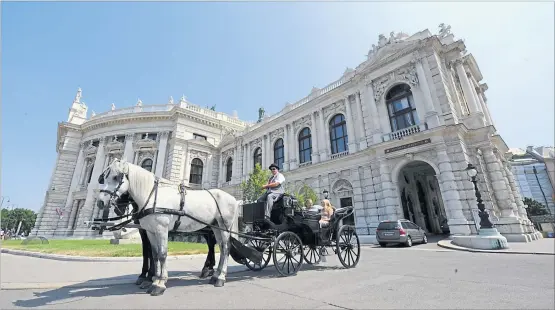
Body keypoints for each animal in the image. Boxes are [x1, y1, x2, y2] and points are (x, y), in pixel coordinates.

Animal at [96, 160, 240, 296]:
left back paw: (220, 277)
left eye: (116, 177)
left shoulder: (162, 230)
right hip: (215, 227)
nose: (100, 202)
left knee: (225, 248)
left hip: (225, 226)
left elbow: (162, 254)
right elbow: (153, 254)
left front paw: (159, 283)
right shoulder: (150, 231)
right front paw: (154, 279)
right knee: (219, 247)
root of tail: (233, 198)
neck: (152, 197)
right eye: (104, 178)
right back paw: (215, 274)